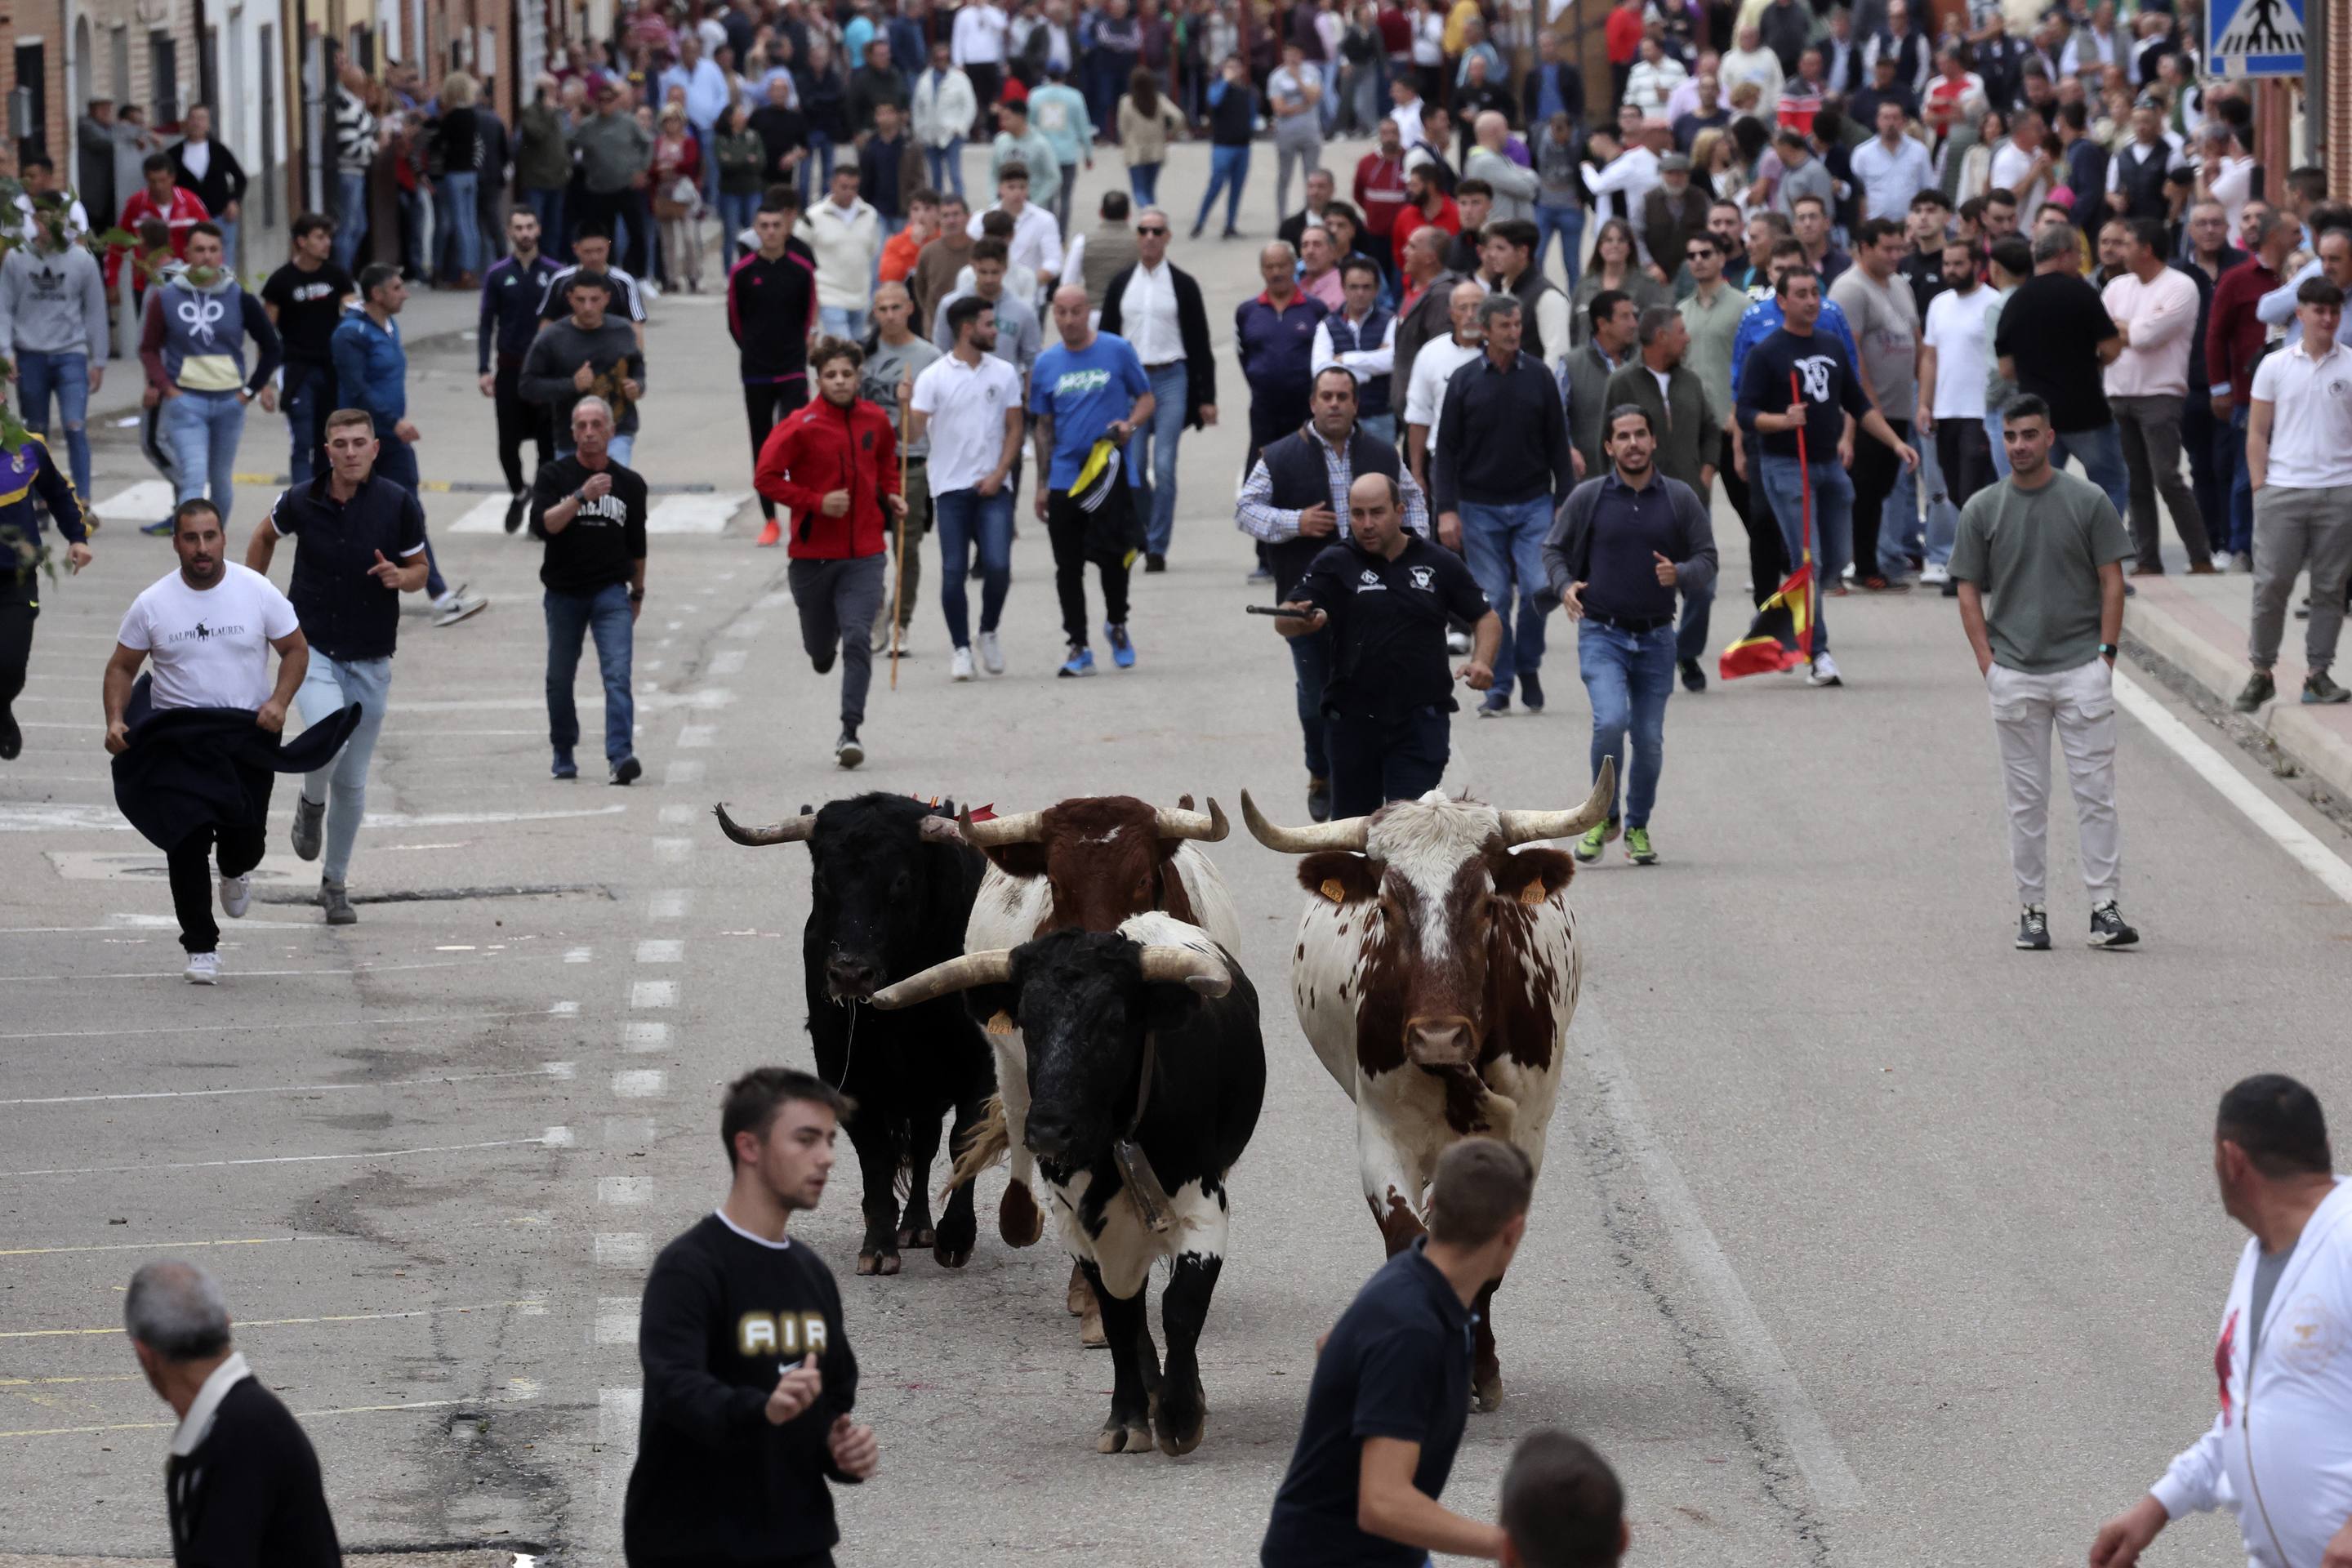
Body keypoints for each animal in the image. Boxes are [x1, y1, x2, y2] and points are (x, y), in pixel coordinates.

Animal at [719, 799, 1006, 1278]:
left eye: (901, 880)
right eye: (822, 879)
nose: (850, 973)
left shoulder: (980, 1068)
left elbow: (964, 1141)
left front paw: (955, 1237)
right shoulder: (847, 1076)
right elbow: (876, 1157)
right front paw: (878, 1247)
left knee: (929, 1145)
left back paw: (922, 1228)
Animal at [875, 911, 1260, 1467]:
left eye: (1116, 1023)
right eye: (1028, 1024)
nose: (1048, 1131)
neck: (1113, 1146)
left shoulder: (1204, 1209)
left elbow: (1182, 1306)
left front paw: (1182, 1415)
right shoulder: (1077, 1228)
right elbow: (1121, 1320)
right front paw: (1129, 1418)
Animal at [1241, 766, 1608, 1419]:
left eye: (1487, 904)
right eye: (1387, 906)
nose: (1439, 1035)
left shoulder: (1523, 1141)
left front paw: (1482, 1371)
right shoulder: (1382, 1136)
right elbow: (1408, 1238)